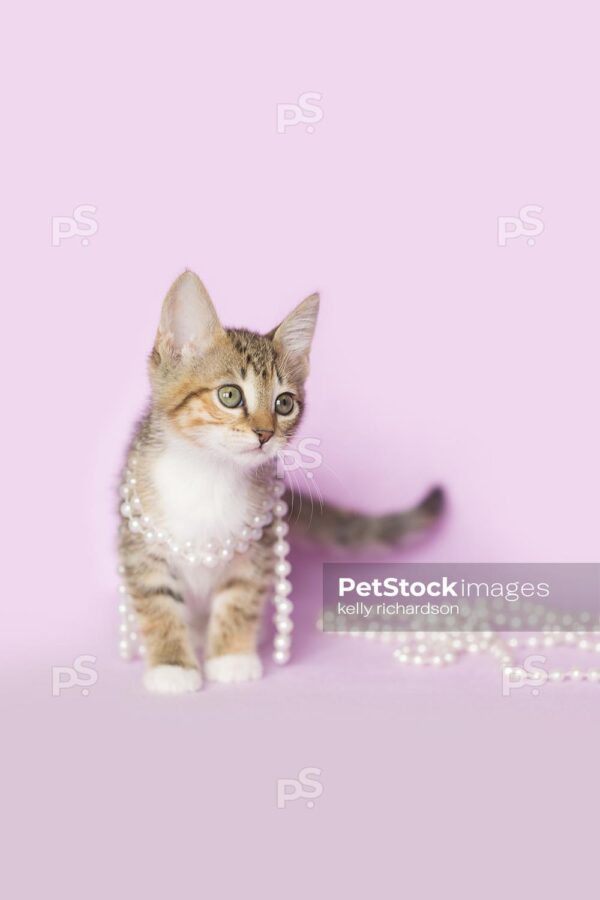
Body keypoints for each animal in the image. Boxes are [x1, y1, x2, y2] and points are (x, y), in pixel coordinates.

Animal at [118, 270, 446, 692]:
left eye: (284, 403)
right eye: (229, 395)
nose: (265, 433)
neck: (209, 472)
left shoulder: (256, 547)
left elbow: (240, 597)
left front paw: (232, 656)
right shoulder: (142, 547)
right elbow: (157, 600)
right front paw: (172, 665)